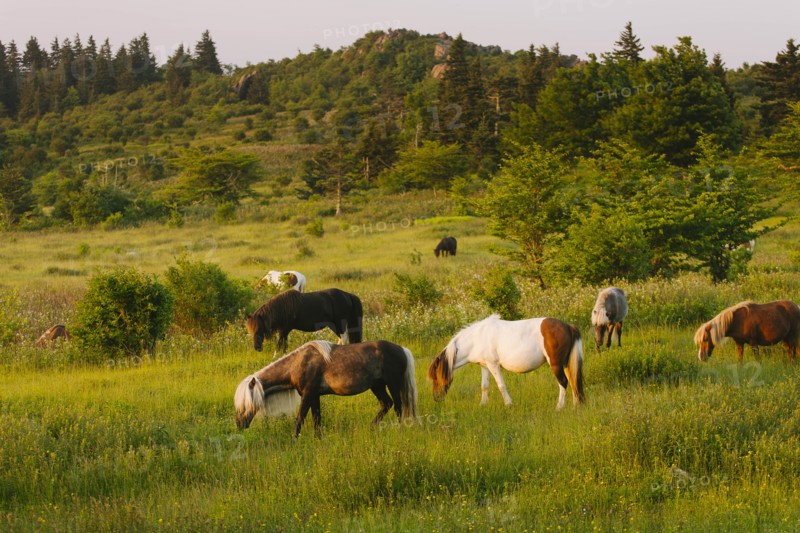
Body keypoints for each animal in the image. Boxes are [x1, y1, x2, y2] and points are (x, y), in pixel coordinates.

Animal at [234, 340, 418, 436]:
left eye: (245, 404)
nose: (239, 424)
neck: (299, 363)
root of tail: (401, 349)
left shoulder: (308, 395)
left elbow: (300, 419)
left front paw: (294, 440)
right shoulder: (315, 396)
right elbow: (317, 419)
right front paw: (318, 438)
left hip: (393, 384)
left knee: (398, 406)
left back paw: (399, 430)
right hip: (377, 386)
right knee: (387, 404)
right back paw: (371, 427)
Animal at [427, 314, 584, 410]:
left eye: (436, 377)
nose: (436, 398)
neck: (477, 338)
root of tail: (568, 326)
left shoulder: (493, 365)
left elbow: (501, 385)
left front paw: (508, 404)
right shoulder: (484, 366)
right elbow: (484, 386)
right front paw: (482, 404)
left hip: (556, 364)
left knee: (563, 382)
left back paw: (559, 407)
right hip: (565, 364)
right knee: (572, 380)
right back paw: (575, 405)